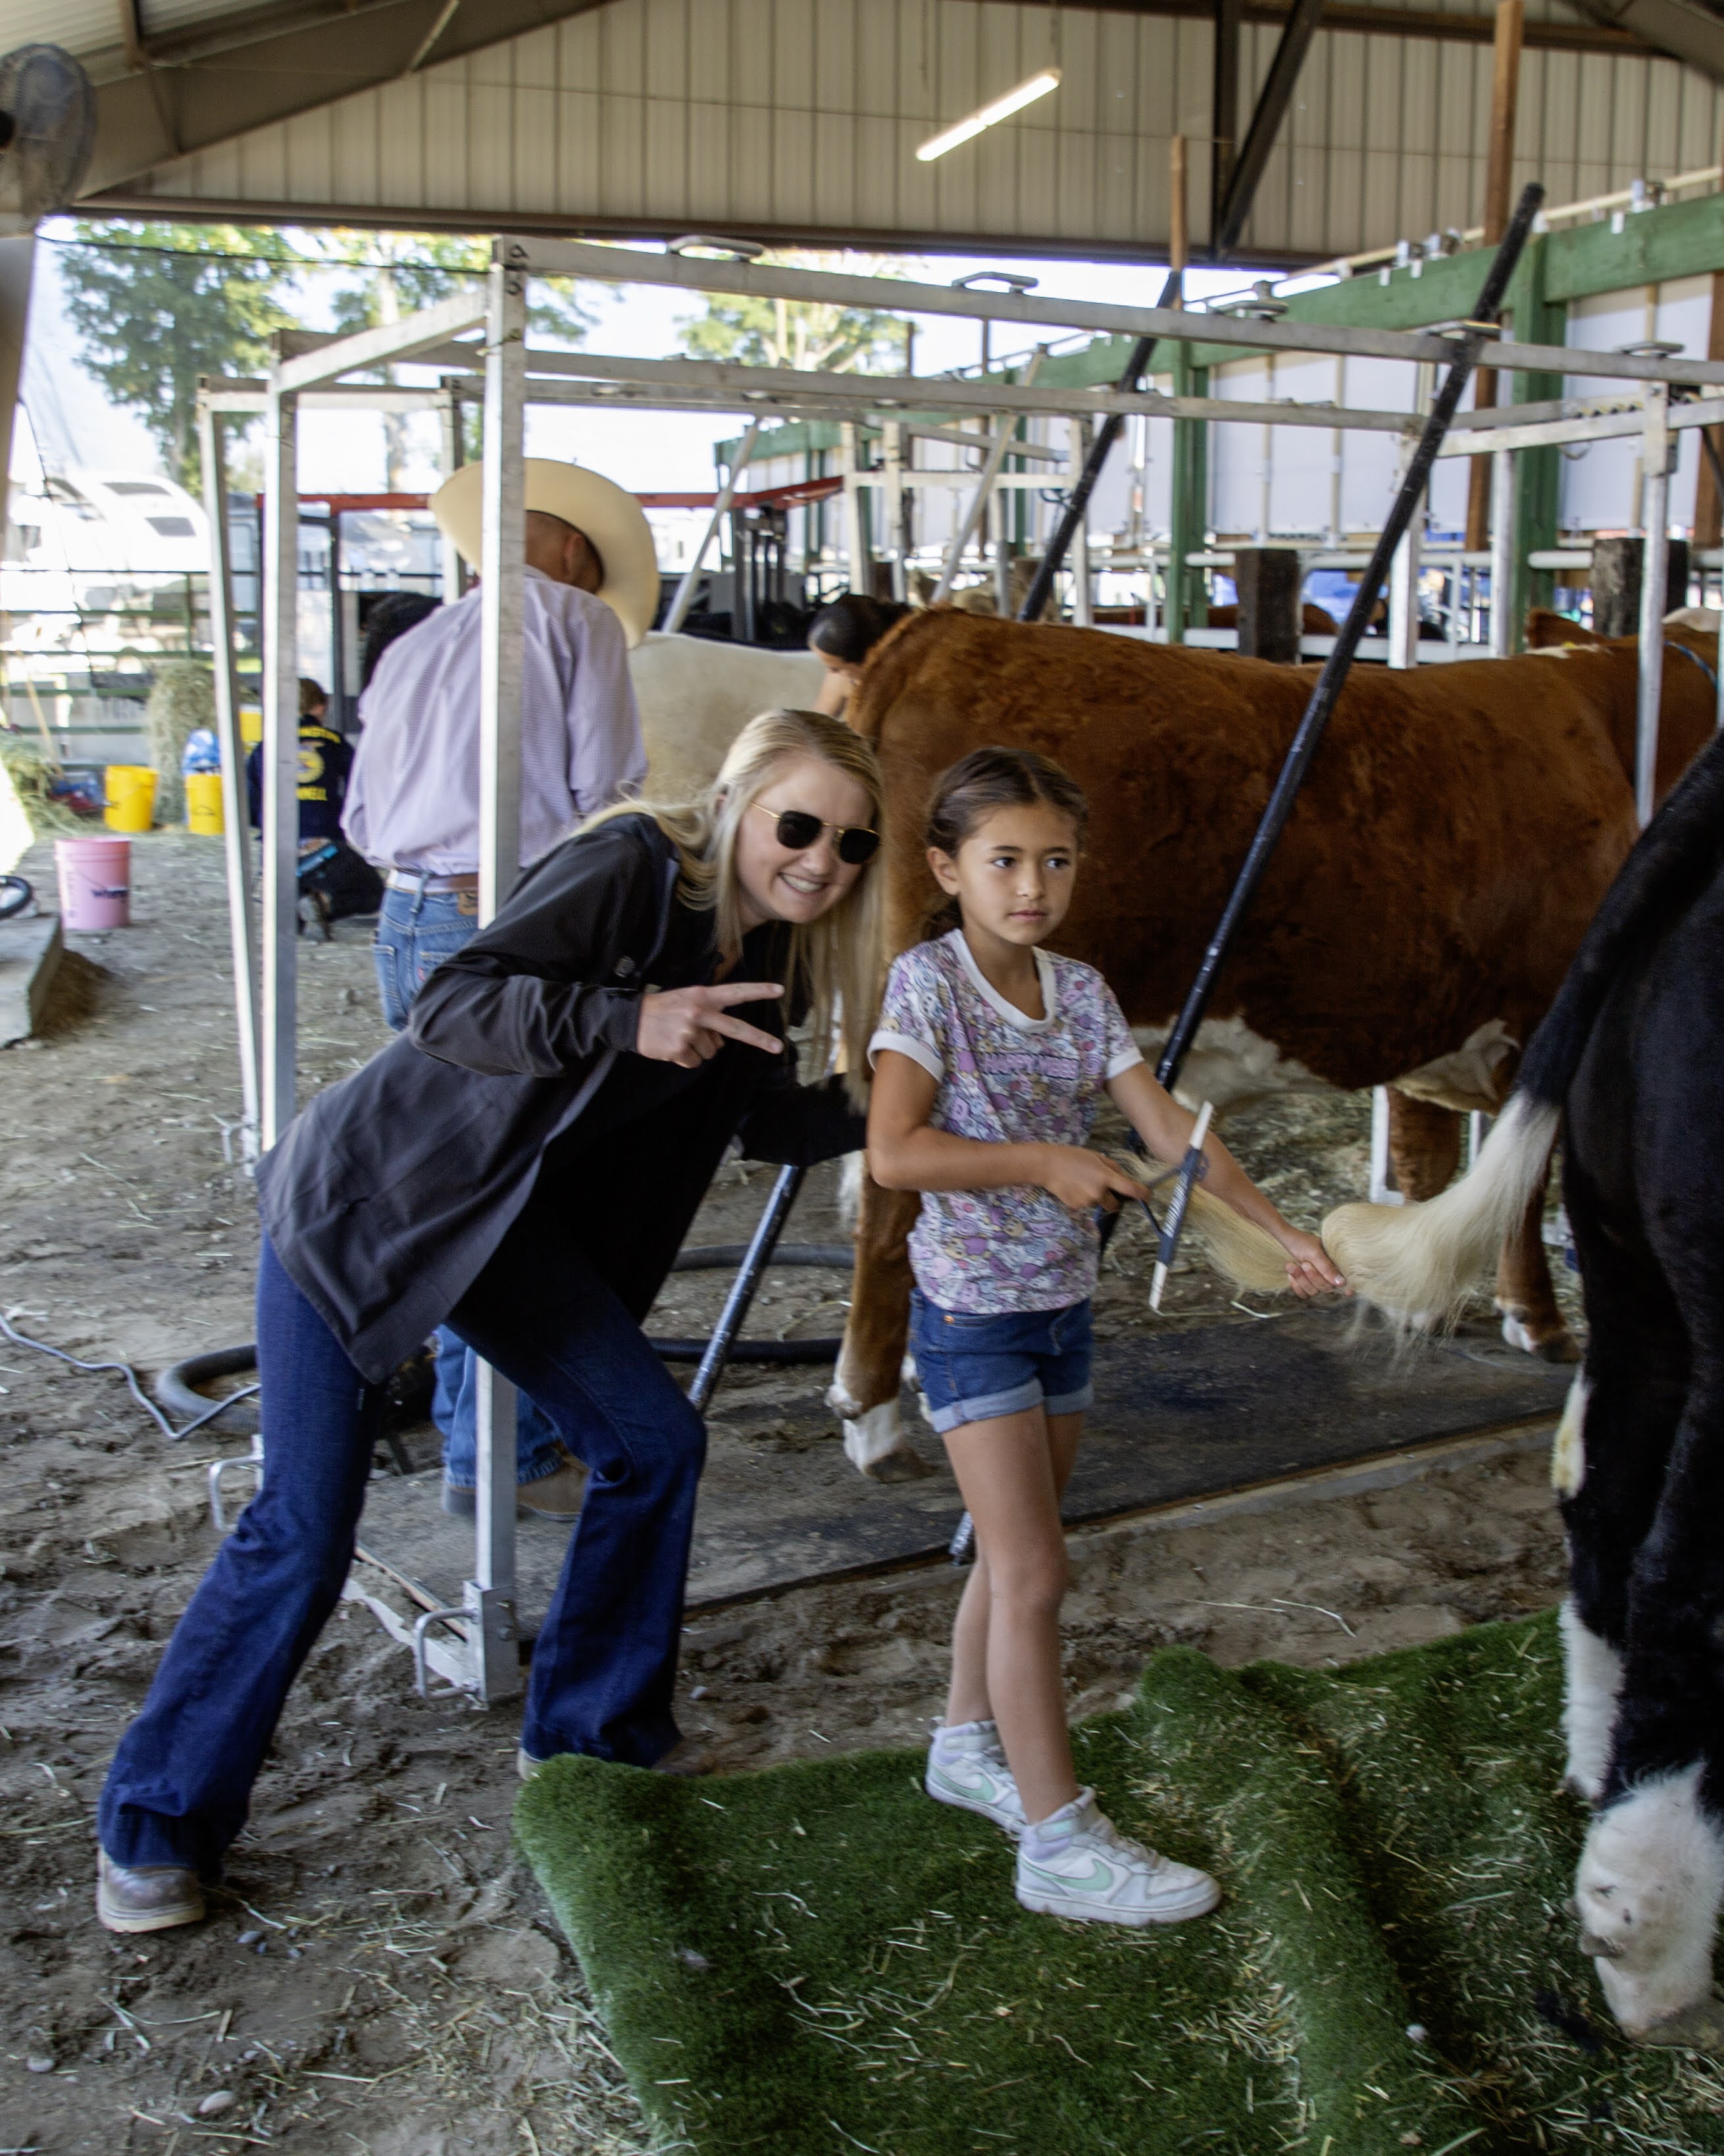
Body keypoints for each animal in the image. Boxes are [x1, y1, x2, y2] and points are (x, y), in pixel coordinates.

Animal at [830, 609, 1716, 1479]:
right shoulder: (1545, 1020)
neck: (1609, 724)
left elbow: (1425, 1170)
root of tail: (942, 628)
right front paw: (1534, 1319)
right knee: (886, 1204)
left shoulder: (1428, 1032)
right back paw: (874, 1425)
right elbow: (1524, 1191)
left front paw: (1414, 1302)